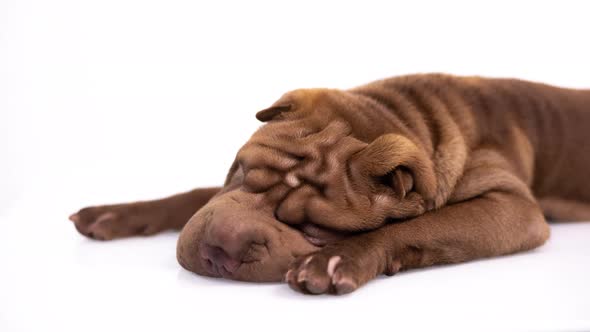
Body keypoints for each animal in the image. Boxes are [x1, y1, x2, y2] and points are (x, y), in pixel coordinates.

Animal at [69, 74, 590, 294]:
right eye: (240, 171)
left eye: (318, 229)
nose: (221, 245)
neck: (407, 114)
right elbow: (195, 195)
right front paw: (116, 213)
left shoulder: (513, 207)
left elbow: (418, 226)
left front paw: (336, 260)